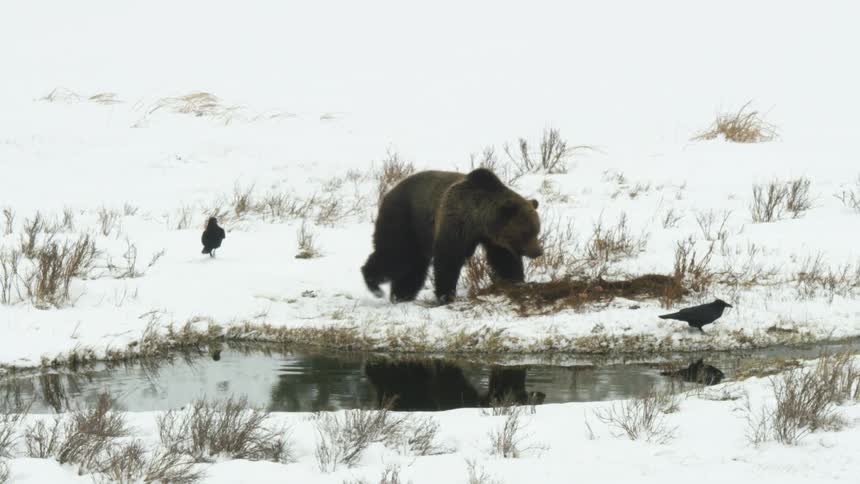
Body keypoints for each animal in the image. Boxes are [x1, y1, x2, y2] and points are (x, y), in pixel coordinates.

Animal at [361, 168, 543, 304]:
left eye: (537, 230)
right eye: (526, 233)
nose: (538, 251)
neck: (478, 220)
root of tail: (389, 192)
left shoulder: (493, 239)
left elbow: (505, 260)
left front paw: (515, 282)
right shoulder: (455, 222)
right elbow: (448, 258)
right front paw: (445, 295)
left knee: (413, 266)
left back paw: (401, 295)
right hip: (405, 219)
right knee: (396, 254)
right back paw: (374, 284)